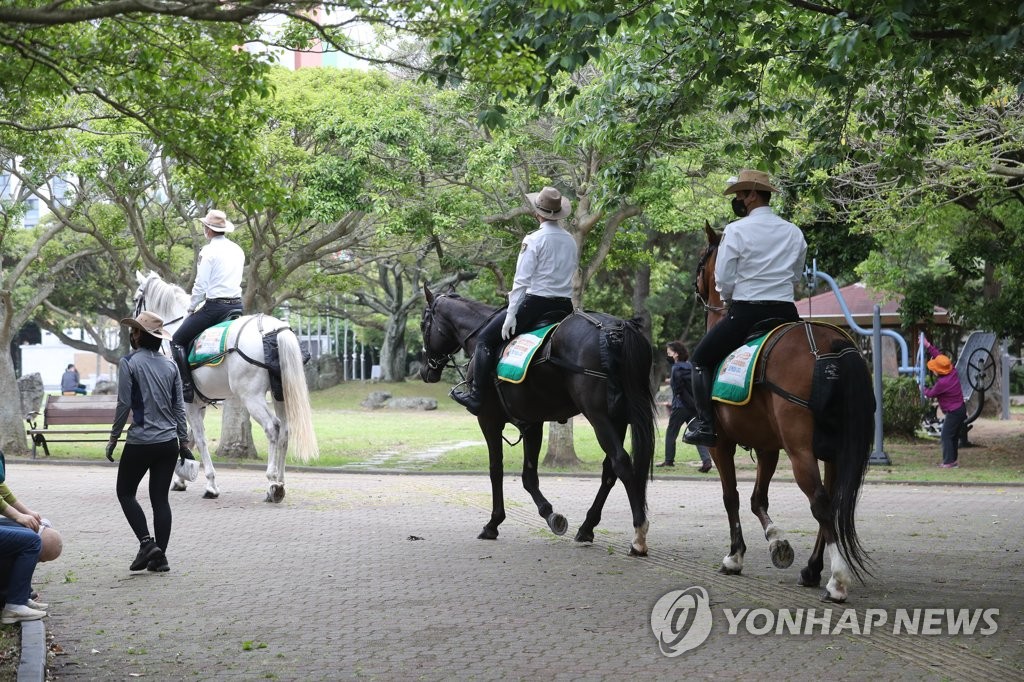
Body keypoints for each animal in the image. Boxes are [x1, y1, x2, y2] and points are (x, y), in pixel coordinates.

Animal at [132, 270, 317, 499]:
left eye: (135, 299)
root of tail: (275, 330)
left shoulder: (188, 405)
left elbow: (199, 439)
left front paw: (211, 484)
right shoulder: (198, 404)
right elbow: (191, 439)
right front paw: (181, 479)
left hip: (251, 397)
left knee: (273, 427)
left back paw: (273, 482)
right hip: (279, 394)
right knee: (284, 431)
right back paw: (281, 481)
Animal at [421, 284, 655, 557]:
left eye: (424, 324)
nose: (426, 370)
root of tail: (618, 329)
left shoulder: (489, 421)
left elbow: (496, 470)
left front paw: (493, 523)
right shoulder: (532, 424)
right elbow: (528, 476)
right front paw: (551, 516)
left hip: (599, 416)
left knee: (621, 462)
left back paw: (638, 535)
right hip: (619, 418)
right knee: (610, 470)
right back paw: (587, 527)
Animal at [692, 223, 876, 602]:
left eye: (704, 258)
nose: (695, 286)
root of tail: (833, 345)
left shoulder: (721, 445)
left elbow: (732, 497)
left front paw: (735, 556)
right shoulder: (767, 447)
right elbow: (756, 499)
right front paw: (777, 542)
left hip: (801, 450)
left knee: (820, 502)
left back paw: (837, 580)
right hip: (833, 451)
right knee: (833, 503)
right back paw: (812, 569)